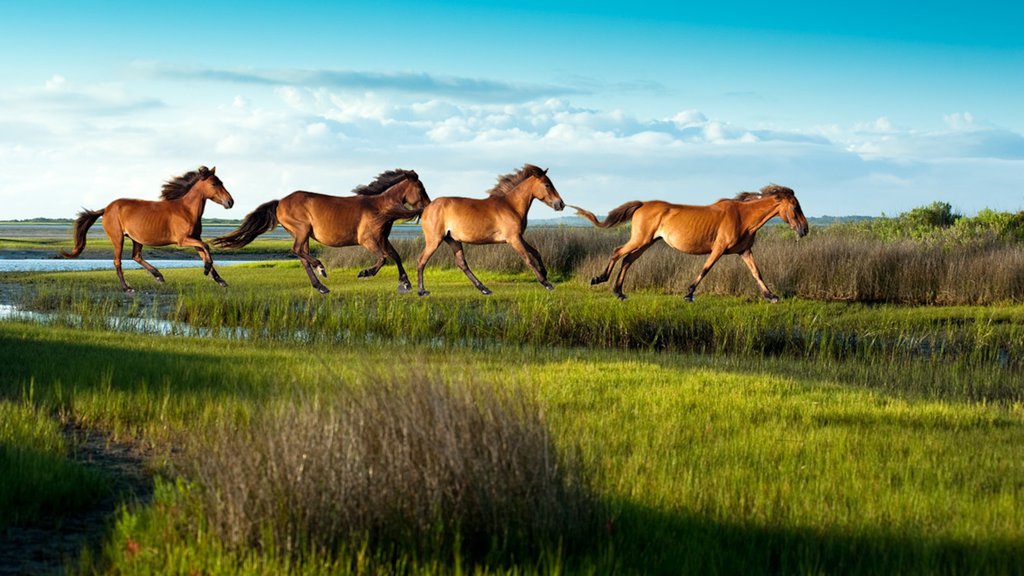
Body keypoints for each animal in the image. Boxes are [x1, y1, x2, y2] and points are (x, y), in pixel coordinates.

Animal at [60, 165, 235, 291]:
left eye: (222, 182)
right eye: (214, 183)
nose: (230, 202)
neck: (186, 210)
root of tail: (106, 209)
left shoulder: (195, 239)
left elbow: (204, 253)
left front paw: (220, 280)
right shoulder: (183, 240)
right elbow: (206, 248)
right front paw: (206, 271)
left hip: (137, 239)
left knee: (136, 256)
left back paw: (158, 276)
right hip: (118, 239)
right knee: (118, 261)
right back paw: (127, 287)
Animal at [211, 166, 428, 291]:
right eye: (420, 188)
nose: (428, 204)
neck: (380, 208)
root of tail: (280, 202)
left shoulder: (382, 238)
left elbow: (396, 256)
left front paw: (405, 282)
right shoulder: (368, 240)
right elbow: (383, 258)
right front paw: (365, 273)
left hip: (304, 234)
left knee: (302, 256)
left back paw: (320, 285)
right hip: (302, 230)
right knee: (298, 251)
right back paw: (321, 268)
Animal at [415, 162, 569, 293]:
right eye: (547, 185)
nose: (560, 204)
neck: (511, 206)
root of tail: (427, 207)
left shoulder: (518, 237)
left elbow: (536, 252)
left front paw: (545, 273)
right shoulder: (514, 239)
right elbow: (528, 259)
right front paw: (546, 283)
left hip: (453, 240)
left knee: (462, 263)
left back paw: (484, 289)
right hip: (434, 240)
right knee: (422, 260)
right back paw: (422, 291)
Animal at [577, 183, 806, 301]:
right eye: (795, 207)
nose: (804, 230)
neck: (743, 217)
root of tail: (642, 204)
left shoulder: (745, 251)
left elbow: (757, 273)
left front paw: (771, 296)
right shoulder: (719, 248)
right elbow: (705, 269)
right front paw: (688, 293)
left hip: (647, 243)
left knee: (627, 260)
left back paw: (620, 292)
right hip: (640, 239)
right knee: (618, 252)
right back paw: (599, 279)